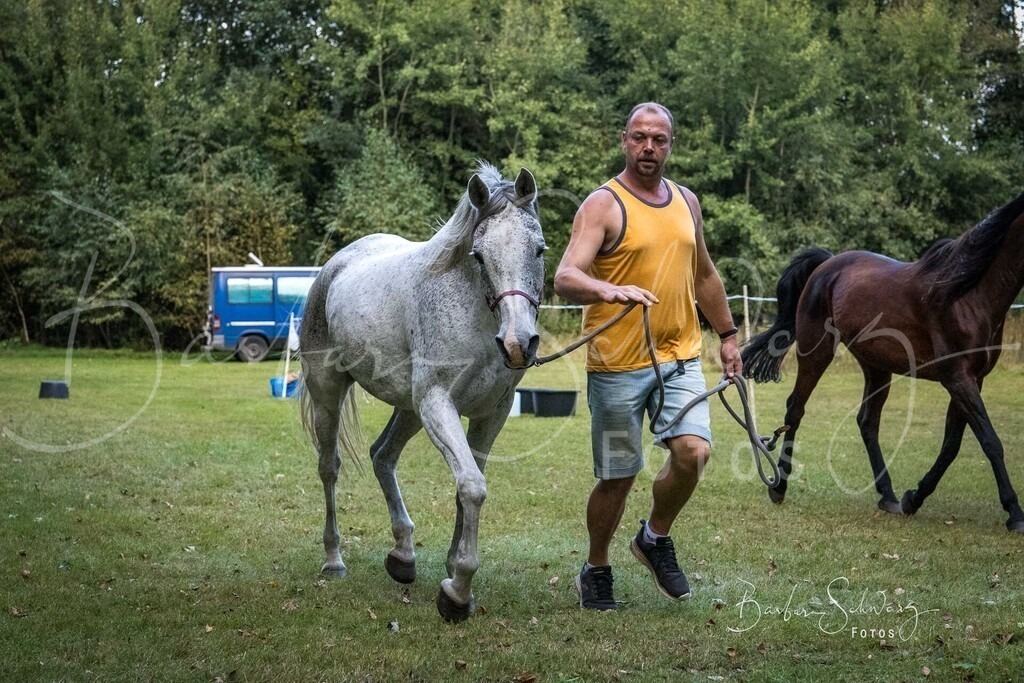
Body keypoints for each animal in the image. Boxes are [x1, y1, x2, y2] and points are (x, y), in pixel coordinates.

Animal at [299, 163, 544, 622]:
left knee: (382, 456)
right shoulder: (437, 404)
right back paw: (334, 560)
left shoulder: (491, 413)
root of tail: (336, 265)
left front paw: (452, 569)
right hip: (329, 394)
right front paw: (458, 592)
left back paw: (403, 555)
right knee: (330, 468)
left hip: (408, 410)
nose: (519, 343)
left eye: (538, 249)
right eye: (478, 256)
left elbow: (467, 486)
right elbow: (472, 486)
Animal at [742, 191, 1024, 532]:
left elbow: (952, 444)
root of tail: (826, 265)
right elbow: (989, 441)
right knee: (795, 409)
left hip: (876, 367)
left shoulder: (972, 379)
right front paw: (1015, 513)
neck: (967, 294)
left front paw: (914, 497)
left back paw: (888, 495)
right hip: (816, 352)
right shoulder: (958, 377)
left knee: (867, 422)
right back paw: (780, 486)